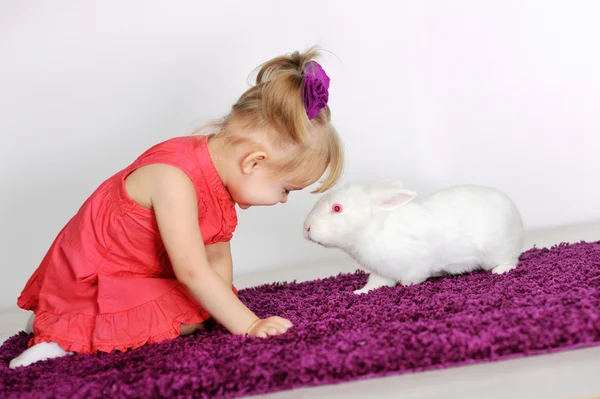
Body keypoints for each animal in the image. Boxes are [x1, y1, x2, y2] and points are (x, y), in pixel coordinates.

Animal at [302, 183, 524, 296]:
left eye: (337, 208)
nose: (307, 228)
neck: (374, 228)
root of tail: (517, 220)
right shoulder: (380, 272)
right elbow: (376, 283)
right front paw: (359, 292)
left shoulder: (416, 264)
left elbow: (413, 278)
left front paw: (406, 286)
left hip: (496, 250)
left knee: (511, 261)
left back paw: (499, 270)